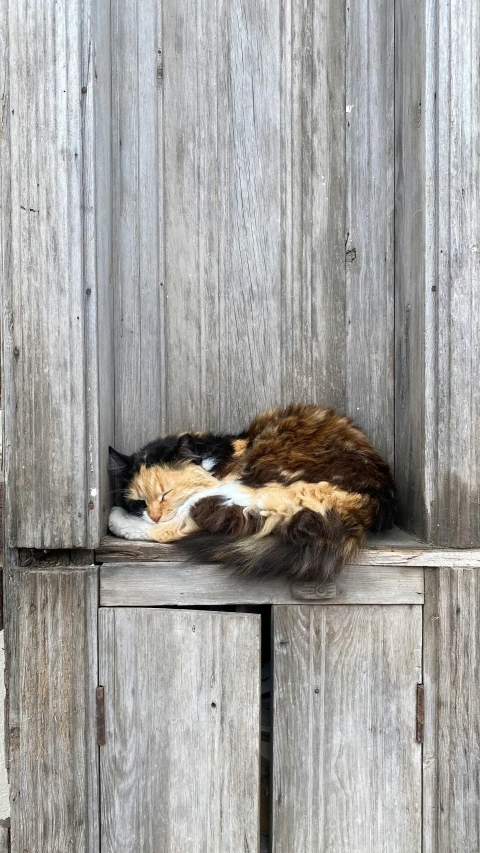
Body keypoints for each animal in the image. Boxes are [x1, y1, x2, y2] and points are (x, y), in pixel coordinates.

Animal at [109, 404, 394, 580]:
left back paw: (116, 521)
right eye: (139, 502)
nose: (154, 515)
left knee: (181, 525)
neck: (214, 456)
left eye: (166, 493)